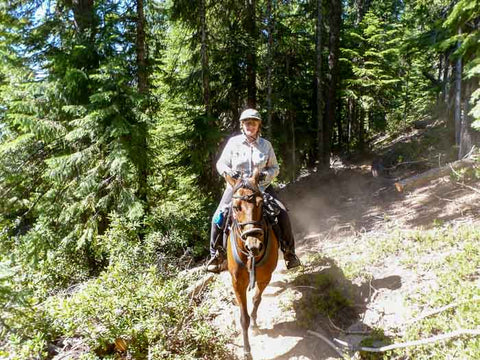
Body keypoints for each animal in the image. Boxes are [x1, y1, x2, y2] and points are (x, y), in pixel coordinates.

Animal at [224, 169, 280, 360]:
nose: (254, 245)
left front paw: (255, 324)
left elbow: (256, 299)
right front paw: (247, 351)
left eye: (261, 204)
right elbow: (244, 318)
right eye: (236, 207)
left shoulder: (265, 277)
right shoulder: (237, 283)